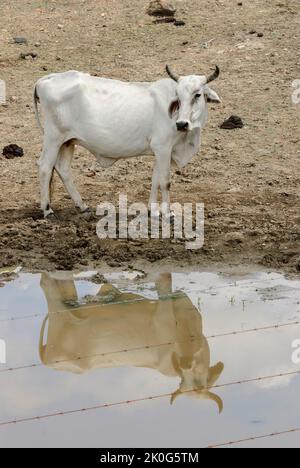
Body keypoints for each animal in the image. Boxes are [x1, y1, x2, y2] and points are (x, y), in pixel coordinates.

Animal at [34, 65, 220, 218]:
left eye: (197, 95)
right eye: (178, 98)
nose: (182, 124)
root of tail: (47, 78)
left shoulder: (159, 151)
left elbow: (155, 180)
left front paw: (153, 210)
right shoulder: (163, 148)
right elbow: (165, 181)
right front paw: (167, 213)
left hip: (68, 142)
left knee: (63, 169)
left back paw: (82, 206)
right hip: (53, 138)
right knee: (45, 167)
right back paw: (47, 210)